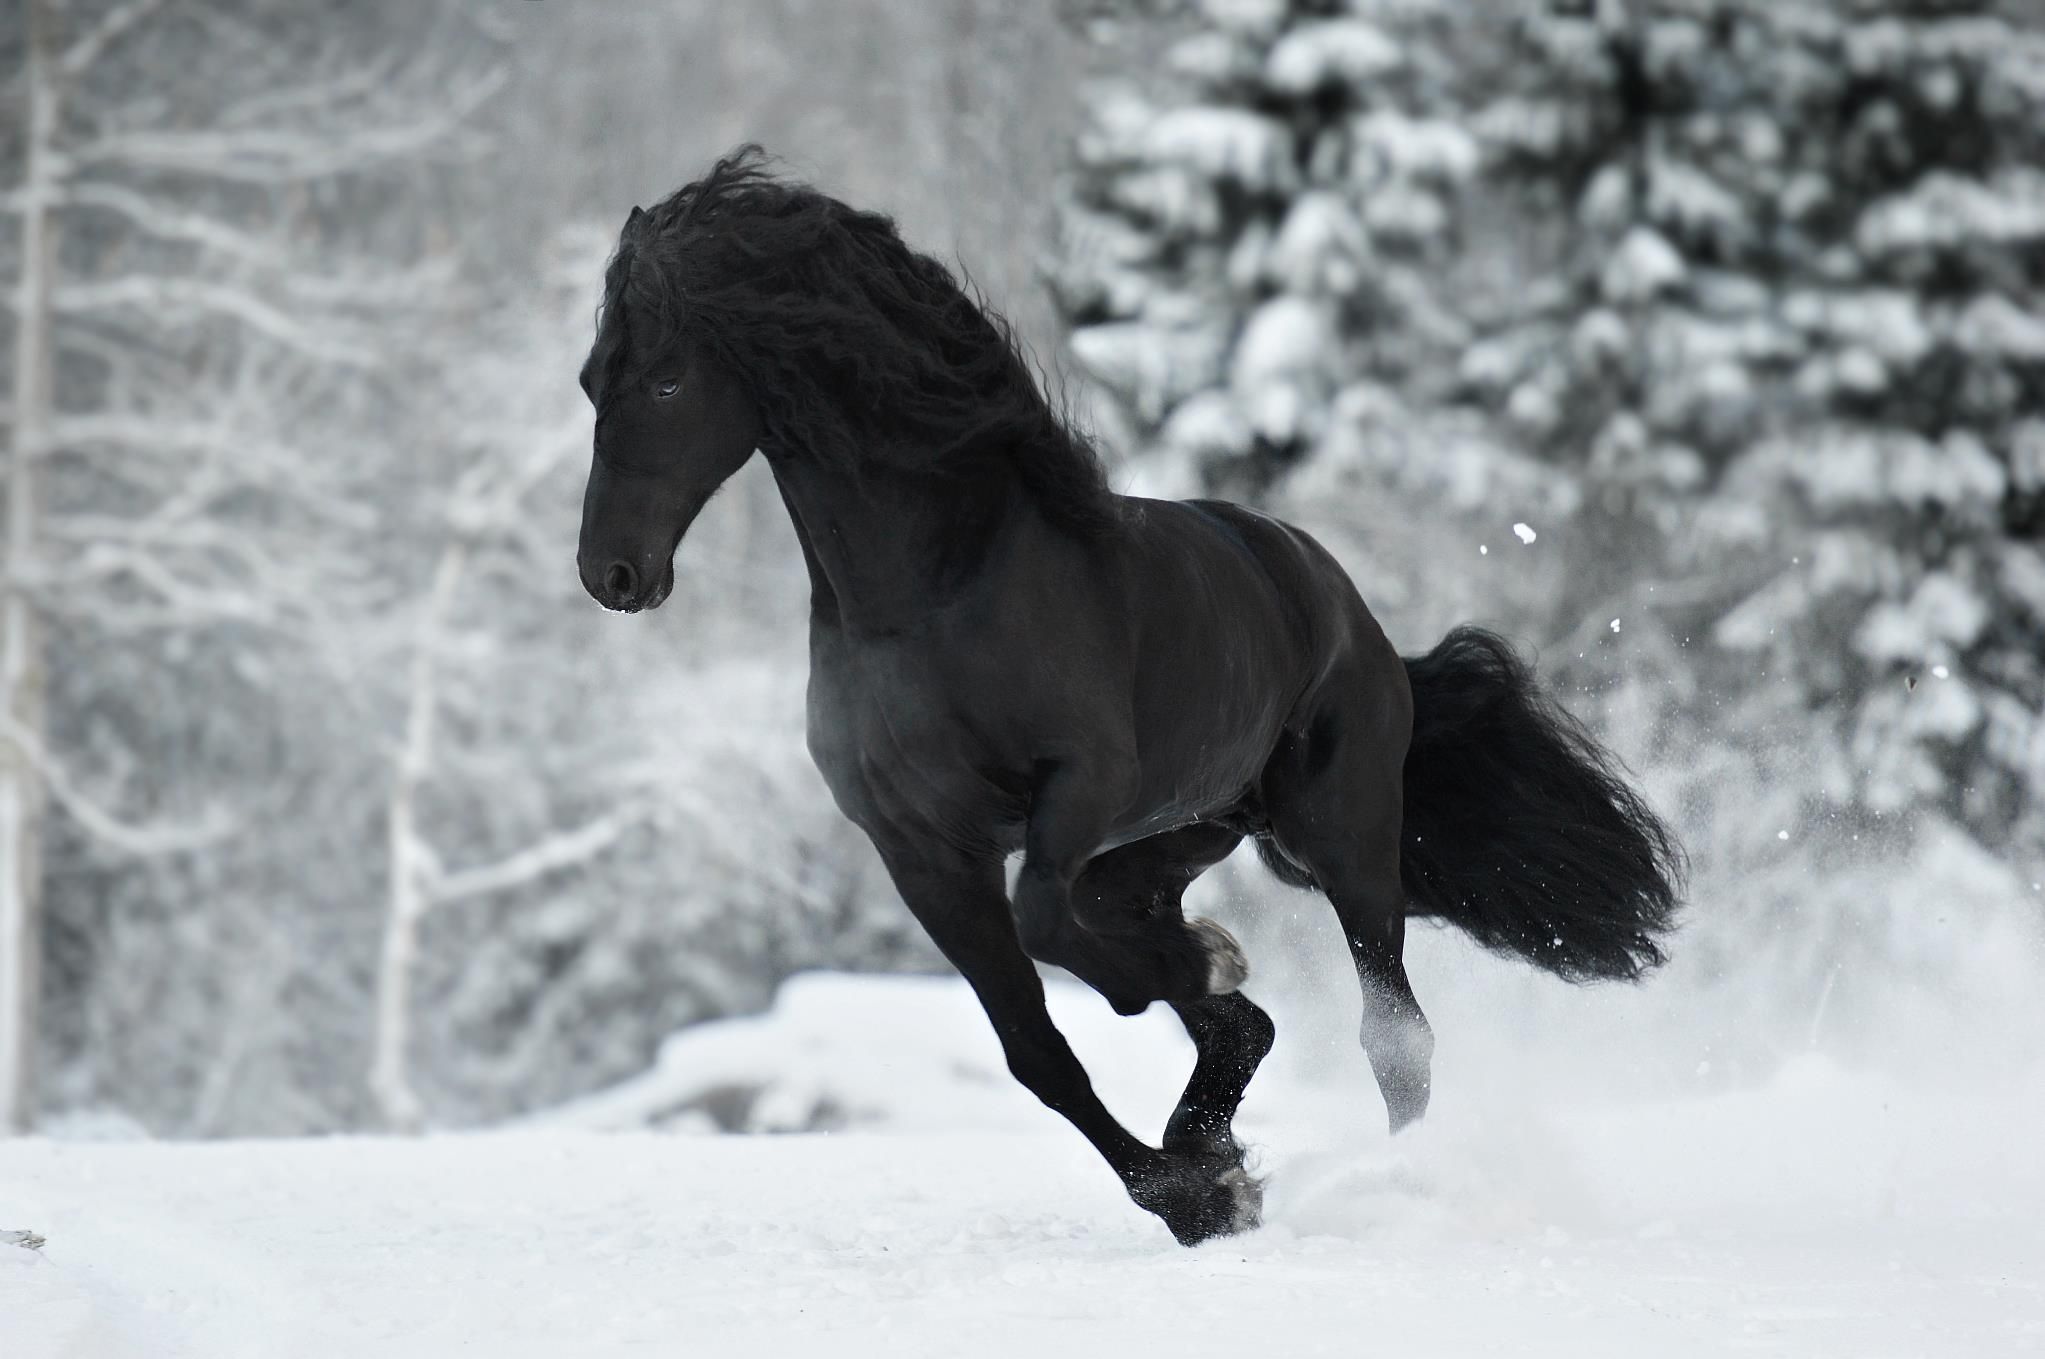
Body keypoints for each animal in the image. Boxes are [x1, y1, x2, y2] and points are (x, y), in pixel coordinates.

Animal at [573, 147, 1682, 1246]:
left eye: (668, 380)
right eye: (591, 381)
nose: (611, 574)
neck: (931, 597)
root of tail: (1355, 622)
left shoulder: (1078, 784)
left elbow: (1048, 930)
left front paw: (1207, 1009)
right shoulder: (921, 852)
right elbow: (1036, 1049)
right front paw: (1201, 1191)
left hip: (1341, 837)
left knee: (1393, 1034)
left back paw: (1406, 1180)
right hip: (1171, 842)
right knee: (1220, 996)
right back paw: (1214, 1102)